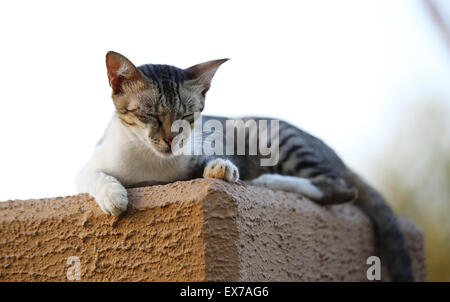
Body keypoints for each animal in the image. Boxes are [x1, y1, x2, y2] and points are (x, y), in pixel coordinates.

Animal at [74, 51, 414, 280]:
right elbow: (91, 176)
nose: (172, 140)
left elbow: (217, 159)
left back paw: (269, 182)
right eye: (151, 115)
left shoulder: (212, 138)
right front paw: (113, 195)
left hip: (274, 135)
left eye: (187, 116)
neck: (150, 163)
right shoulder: (89, 165)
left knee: (339, 189)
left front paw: (221, 168)